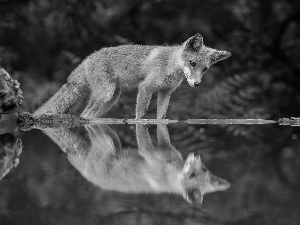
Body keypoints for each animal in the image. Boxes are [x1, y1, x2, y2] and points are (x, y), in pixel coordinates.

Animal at [35, 33, 232, 119]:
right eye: (192, 63)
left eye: (204, 69)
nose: (197, 84)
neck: (170, 65)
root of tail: (88, 58)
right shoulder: (146, 87)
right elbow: (141, 115)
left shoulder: (165, 93)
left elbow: (161, 117)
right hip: (105, 95)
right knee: (84, 115)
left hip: (111, 100)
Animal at [43, 124, 231, 205]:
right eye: (193, 174)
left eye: (203, 169)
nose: (196, 154)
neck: (171, 170)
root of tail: (87, 175)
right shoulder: (149, 151)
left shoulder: (153, 151)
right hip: (109, 143)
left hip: (108, 144)